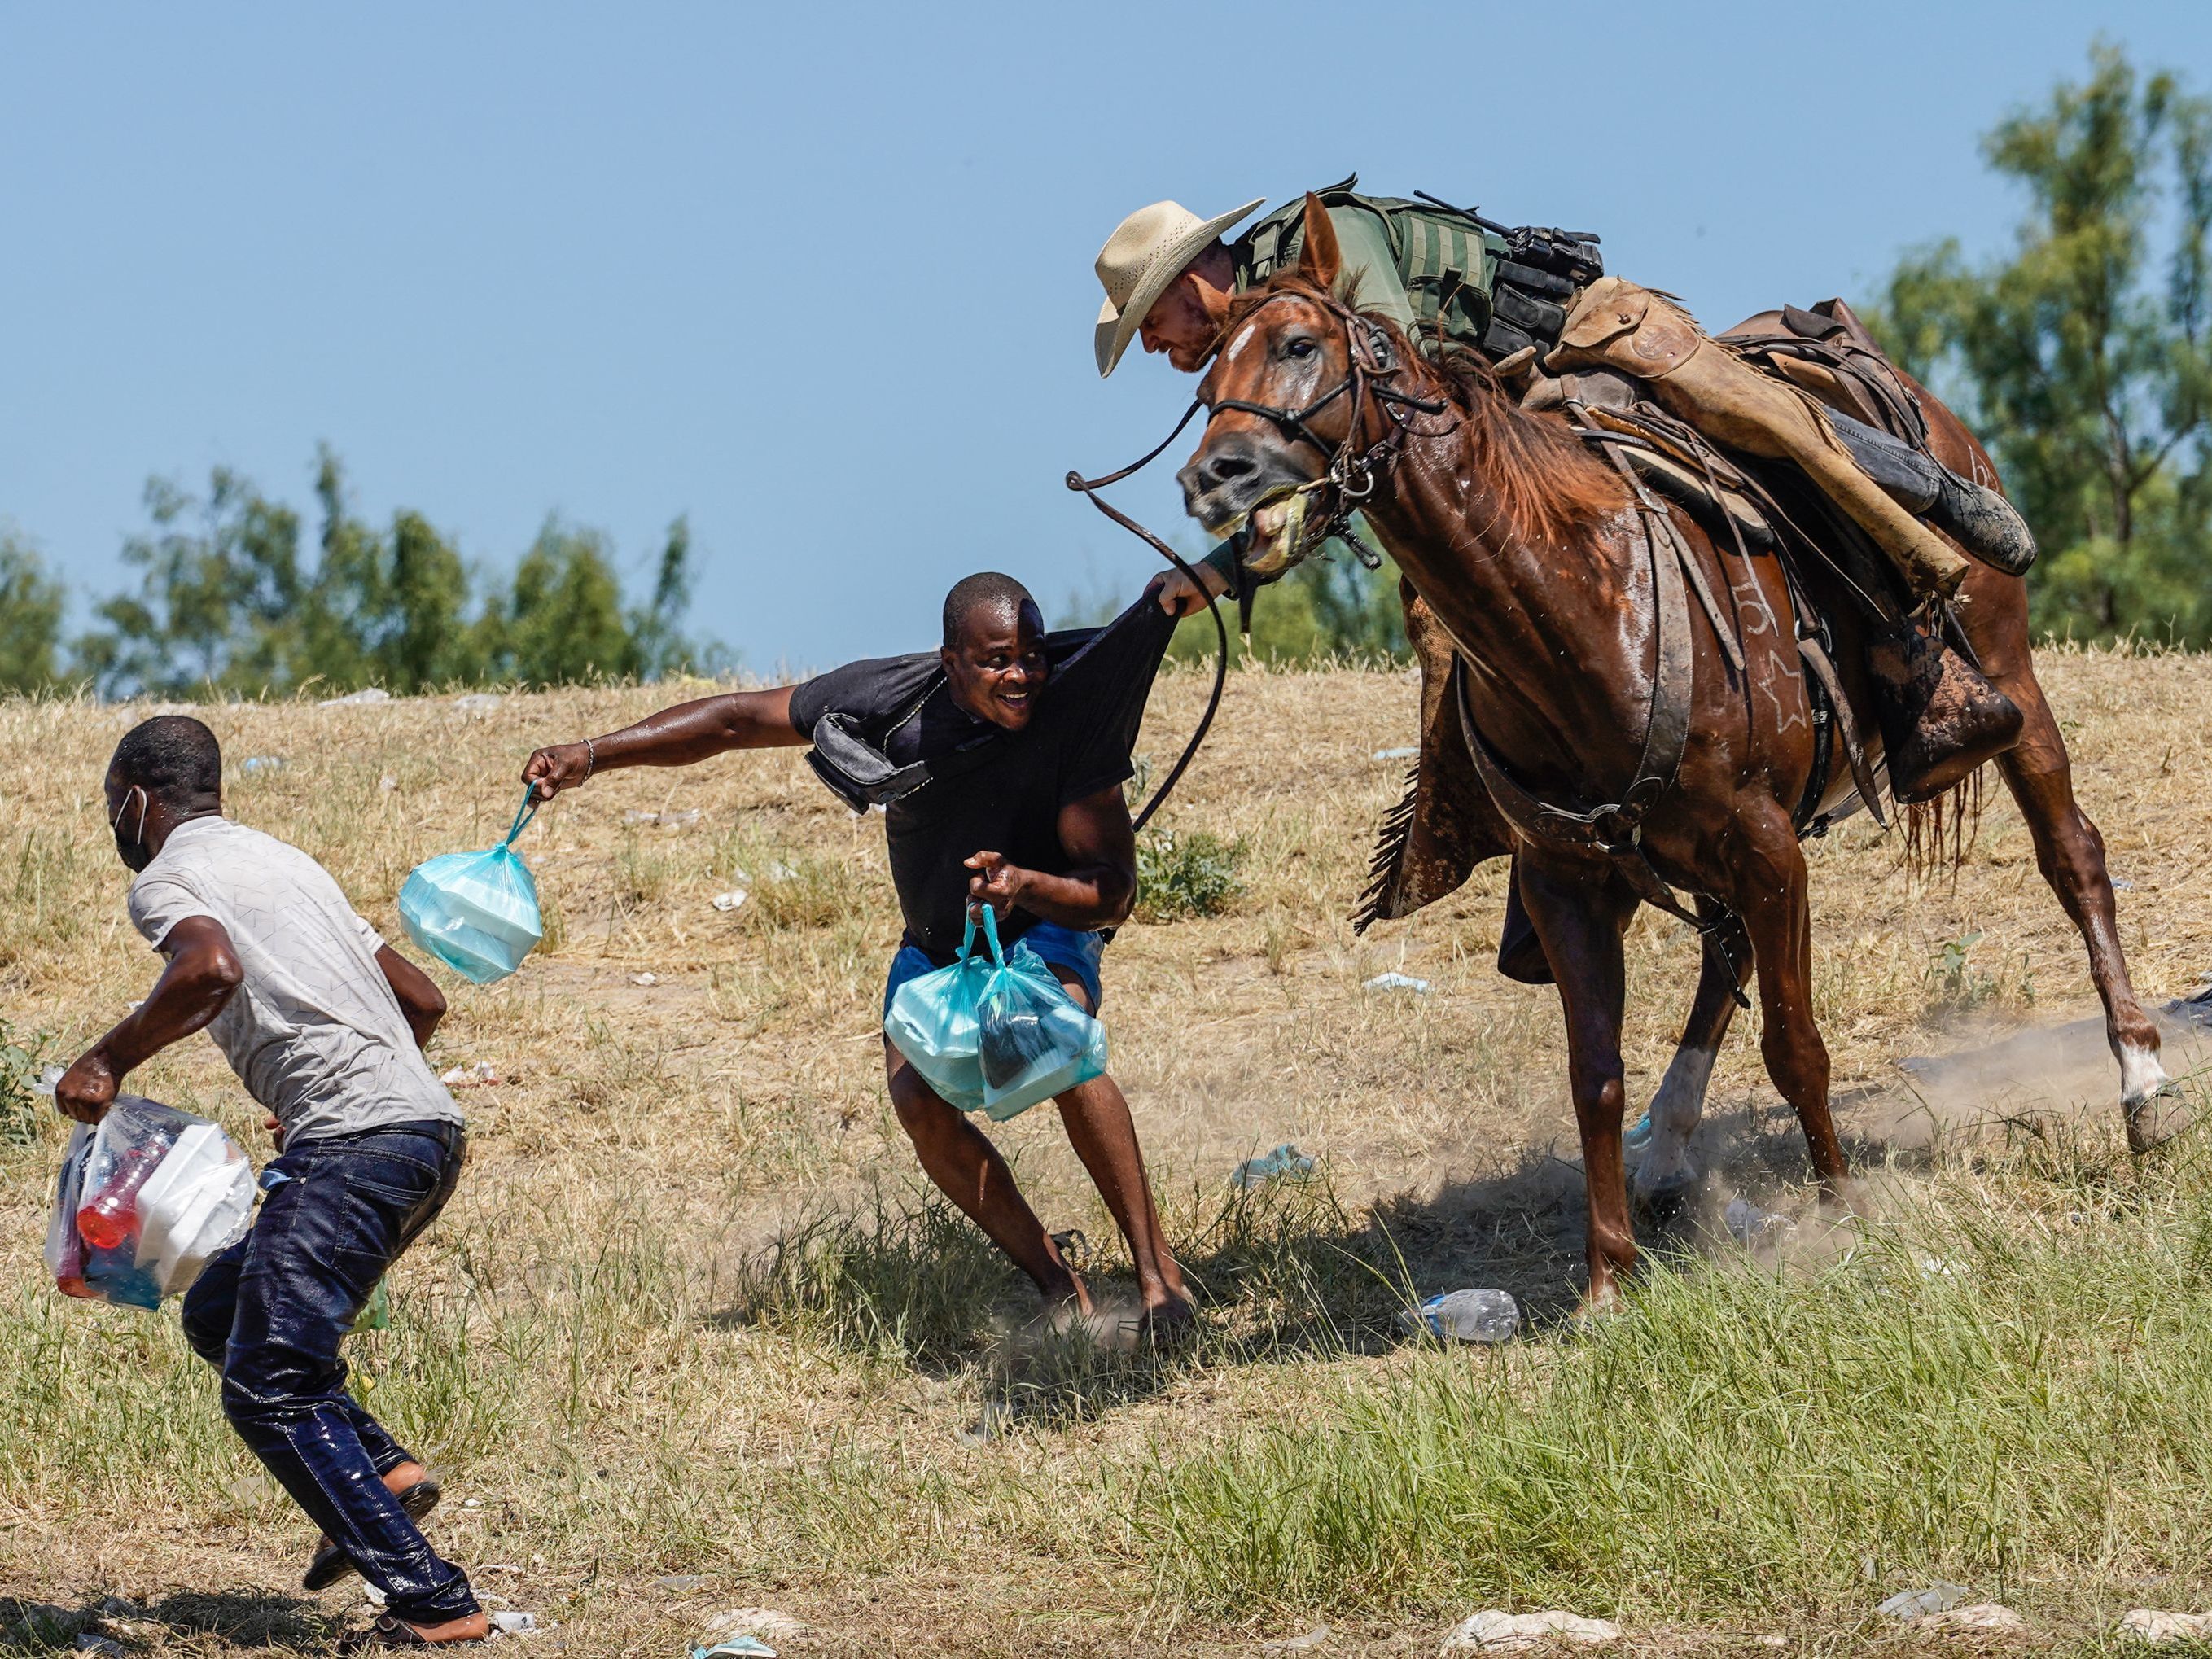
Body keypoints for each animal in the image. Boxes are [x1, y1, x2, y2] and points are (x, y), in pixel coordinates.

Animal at [1176, 195, 2176, 1309]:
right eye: (1204, 382)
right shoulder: (1569, 878)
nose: (1210, 476)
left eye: (1300, 346)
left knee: (2072, 856)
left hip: (2009, 681)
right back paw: (1666, 1152)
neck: (1580, 602)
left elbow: (1794, 1045)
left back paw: (2141, 1079)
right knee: (1722, 951)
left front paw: (1840, 1213)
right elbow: (1595, 1075)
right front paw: (1606, 1281)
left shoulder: (1766, 847)